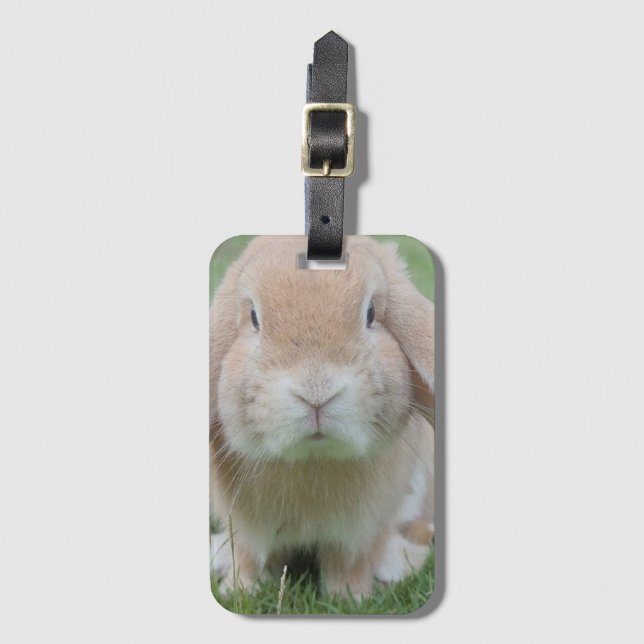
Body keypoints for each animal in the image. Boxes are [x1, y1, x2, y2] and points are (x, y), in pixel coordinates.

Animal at [209, 236, 435, 600]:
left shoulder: (361, 531)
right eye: (254, 317)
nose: (316, 392)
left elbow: (350, 564)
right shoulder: (246, 529)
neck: (312, 458)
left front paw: (351, 597)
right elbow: (248, 557)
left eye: (371, 313)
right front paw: (240, 591)